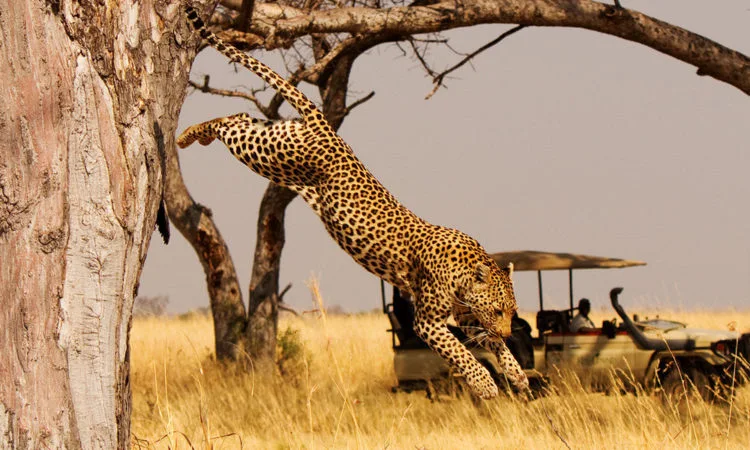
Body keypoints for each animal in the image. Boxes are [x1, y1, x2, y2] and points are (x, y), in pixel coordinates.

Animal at [178, 5, 529, 399]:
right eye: (498, 309)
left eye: (512, 311)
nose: (508, 328)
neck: (466, 272)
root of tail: (325, 126)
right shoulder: (428, 321)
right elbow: (460, 352)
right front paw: (485, 384)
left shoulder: (465, 315)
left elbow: (490, 344)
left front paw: (516, 372)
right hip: (271, 154)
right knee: (229, 124)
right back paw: (187, 135)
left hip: (273, 140)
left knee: (239, 117)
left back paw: (193, 134)